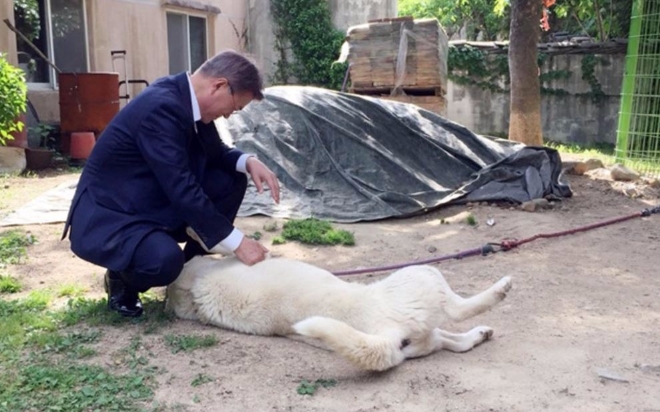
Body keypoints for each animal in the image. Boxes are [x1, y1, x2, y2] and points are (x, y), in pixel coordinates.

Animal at [164, 256, 510, 372]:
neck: (197, 290)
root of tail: (389, 336)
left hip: (426, 334)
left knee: (457, 342)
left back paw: (482, 333)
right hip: (424, 276)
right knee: (460, 309)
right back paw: (501, 289)